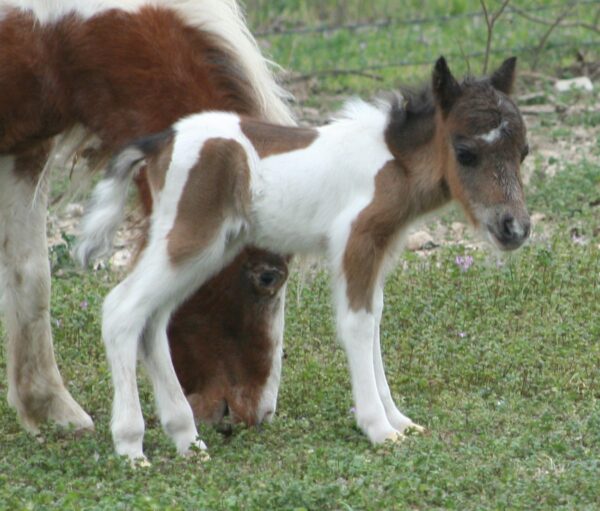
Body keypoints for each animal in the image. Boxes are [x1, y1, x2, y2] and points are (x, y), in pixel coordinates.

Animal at [0, 1, 292, 436]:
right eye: (268, 277)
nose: (256, 414)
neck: (50, 35)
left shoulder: (25, 150)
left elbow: (30, 275)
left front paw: (49, 407)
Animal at [76, 58, 528, 462]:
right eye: (465, 152)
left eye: (523, 152)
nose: (515, 228)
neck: (393, 162)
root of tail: (160, 142)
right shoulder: (355, 241)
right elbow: (358, 324)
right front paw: (379, 429)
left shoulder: (379, 248)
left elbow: (375, 318)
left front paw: (399, 420)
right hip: (189, 239)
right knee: (121, 309)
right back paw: (131, 445)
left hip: (205, 250)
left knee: (153, 320)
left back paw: (187, 439)